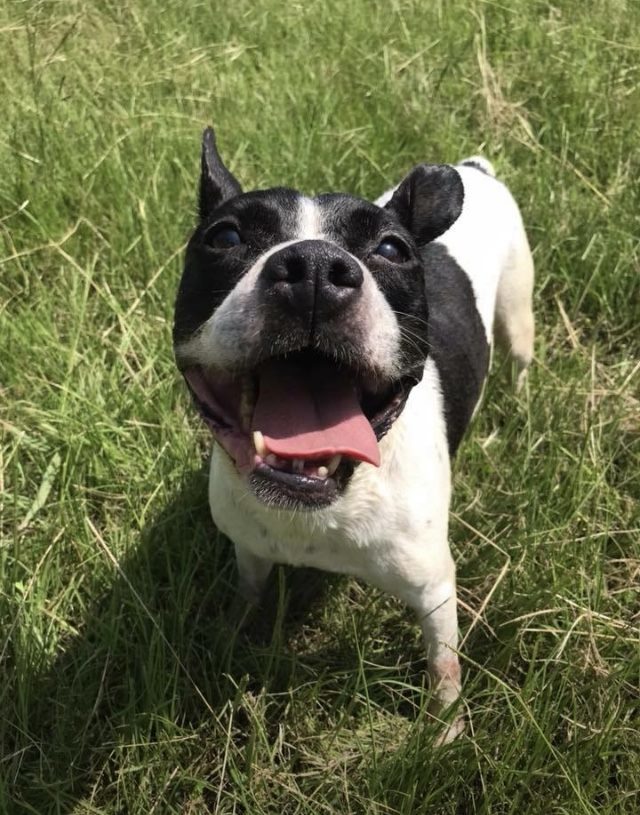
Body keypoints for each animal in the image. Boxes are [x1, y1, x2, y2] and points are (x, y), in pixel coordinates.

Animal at [171, 126, 536, 740]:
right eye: (225, 237)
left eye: (392, 250)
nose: (315, 267)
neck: (328, 497)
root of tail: (474, 168)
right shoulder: (250, 547)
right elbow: (248, 592)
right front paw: (229, 635)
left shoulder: (435, 591)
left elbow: (443, 663)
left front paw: (444, 730)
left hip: (518, 308)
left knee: (521, 353)